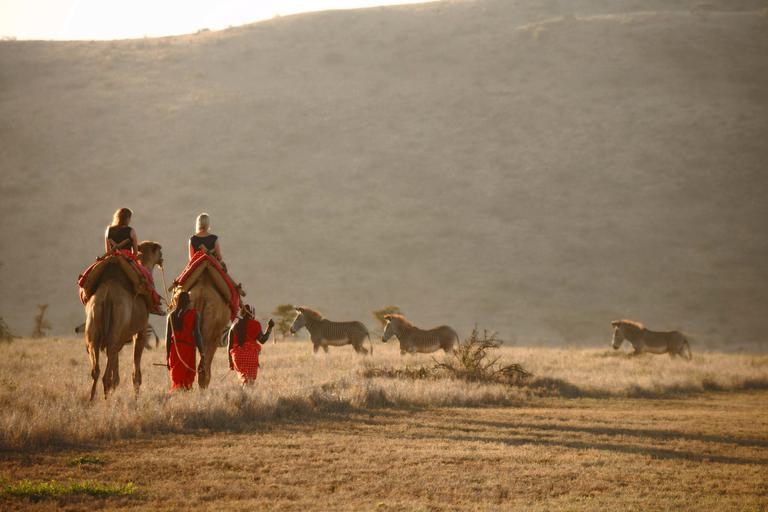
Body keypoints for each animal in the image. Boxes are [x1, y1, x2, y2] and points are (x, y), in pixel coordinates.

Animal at [83, 242, 163, 400]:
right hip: (117, 327)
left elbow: (116, 372)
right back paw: (106, 401)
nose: (162, 258)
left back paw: (92, 400)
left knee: (96, 369)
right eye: (159, 251)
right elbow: (135, 372)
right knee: (105, 375)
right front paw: (136, 398)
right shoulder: (140, 332)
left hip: (94, 327)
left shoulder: (120, 340)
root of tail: (107, 296)